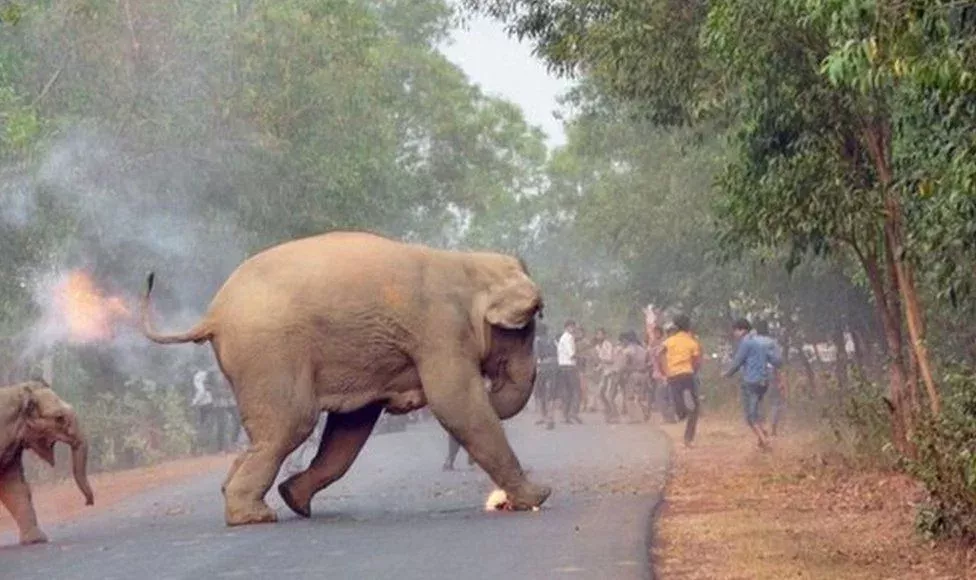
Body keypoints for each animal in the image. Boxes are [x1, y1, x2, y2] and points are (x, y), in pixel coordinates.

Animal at [140, 231, 550, 527]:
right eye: (528, 326)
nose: (493, 387)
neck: (468, 263)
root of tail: (214, 314)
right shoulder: (440, 332)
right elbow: (457, 404)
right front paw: (538, 497)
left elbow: (351, 426)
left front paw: (295, 497)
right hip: (269, 352)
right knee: (291, 424)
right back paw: (253, 517)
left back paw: (269, 503)